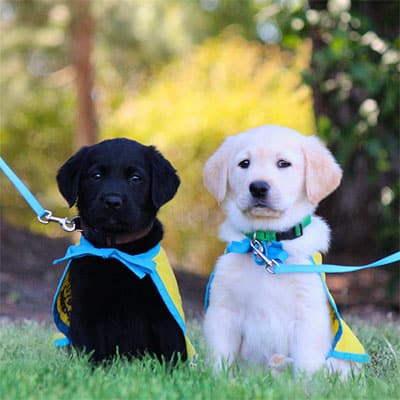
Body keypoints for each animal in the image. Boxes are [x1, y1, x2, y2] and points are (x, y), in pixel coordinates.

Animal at [55, 139, 188, 364]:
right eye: (96, 175)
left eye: (135, 178)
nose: (112, 201)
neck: (116, 249)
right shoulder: (85, 310)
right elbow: (91, 351)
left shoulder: (164, 313)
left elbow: (173, 352)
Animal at [203, 126, 354, 378]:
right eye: (244, 163)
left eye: (283, 163)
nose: (258, 187)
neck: (267, 243)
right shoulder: (223, 310)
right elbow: (220, 356)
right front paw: (220, 380)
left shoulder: (308, 314)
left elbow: (306, 364)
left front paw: (306, 384)